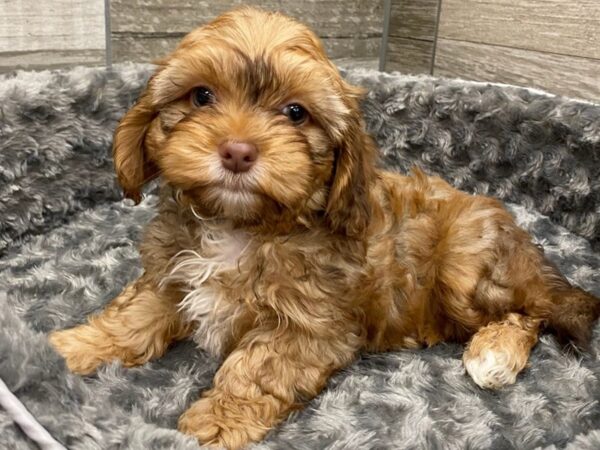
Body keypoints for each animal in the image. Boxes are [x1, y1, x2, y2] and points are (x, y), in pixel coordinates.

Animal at [49, 7, 596, 450]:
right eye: (201, 96)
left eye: (296, 112)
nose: (237, 151)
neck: (242, 225)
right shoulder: (169, 275)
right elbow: (131, 318)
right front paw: (68, 350)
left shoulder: (308, 326)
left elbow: (255, 369)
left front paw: (215, 423)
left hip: (466, 270)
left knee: (532, 311)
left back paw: (494, 352)